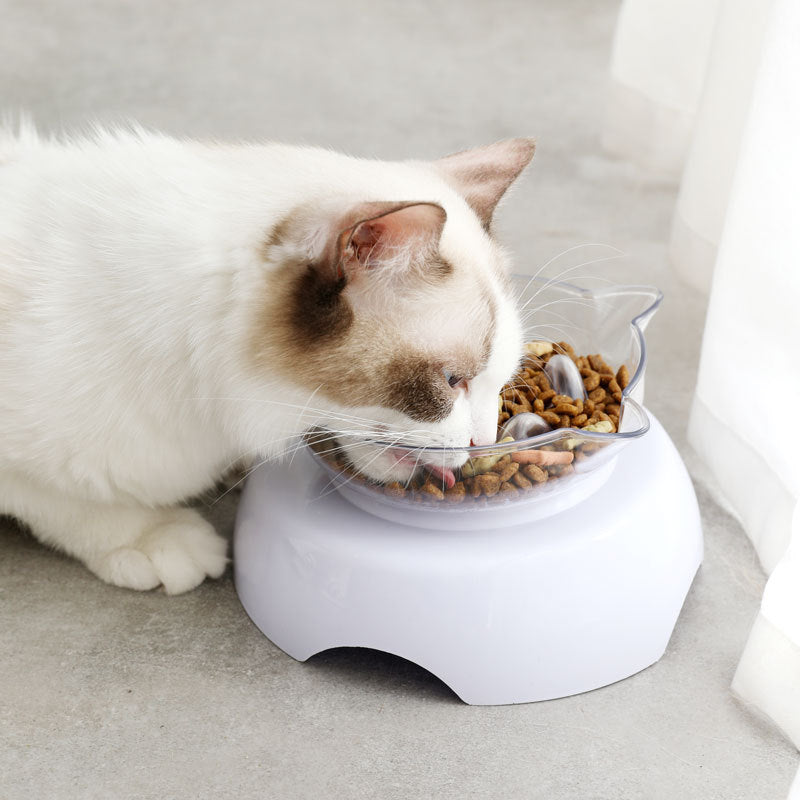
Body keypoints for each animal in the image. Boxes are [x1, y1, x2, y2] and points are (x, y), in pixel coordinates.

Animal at [1, 122, 536, 592]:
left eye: (499, 383)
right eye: (451, 381)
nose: (483, 443)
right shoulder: (26, 468)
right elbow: (72, 502)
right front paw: (155, 538)